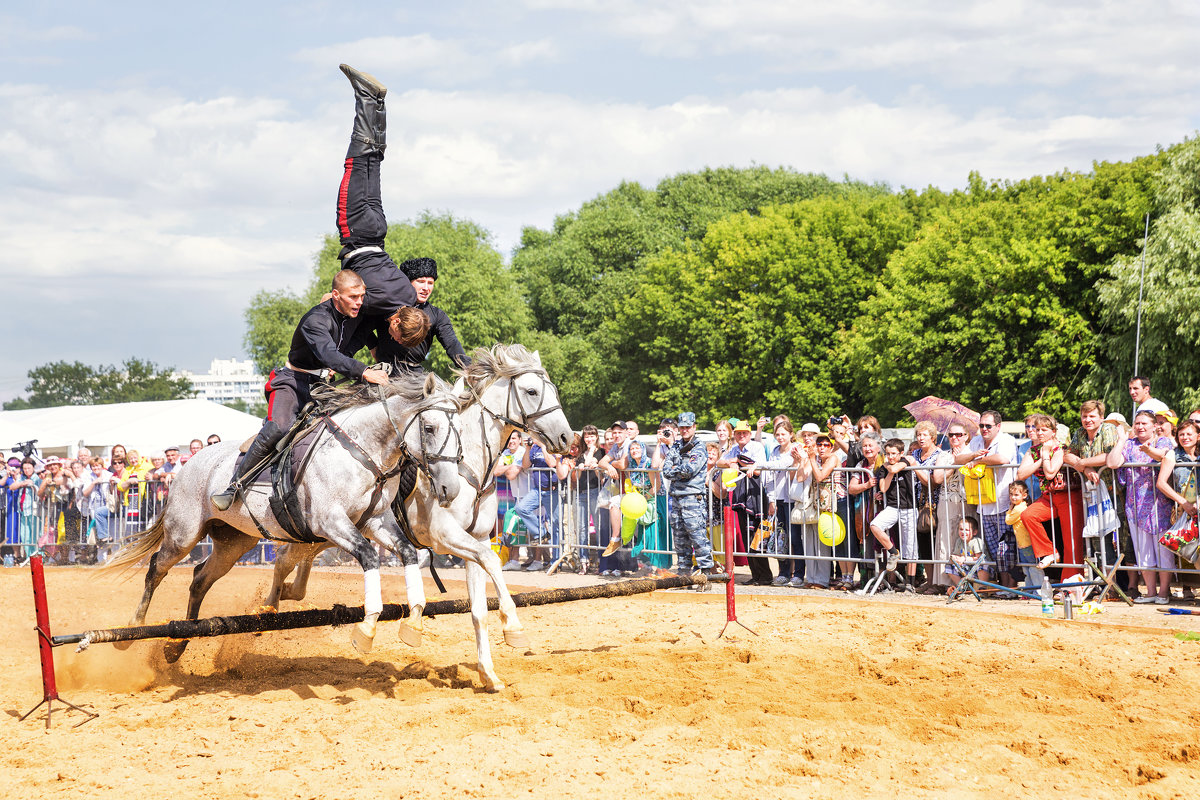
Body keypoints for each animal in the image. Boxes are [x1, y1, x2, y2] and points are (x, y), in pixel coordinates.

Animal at [104, 371, 463, 662]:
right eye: (429, 427)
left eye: (460, 430)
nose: (451, 488)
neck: (362, 451)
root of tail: (187, 464)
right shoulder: (331, 522)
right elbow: (369, 557)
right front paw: (367, 628)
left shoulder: (375, 521)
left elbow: (408, 553)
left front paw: (414, 622)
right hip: (184, 533)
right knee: (156, 568)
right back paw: (132, 631)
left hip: (234, 543)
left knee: (200, 578)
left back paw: (177, 643)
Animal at [268, 347, 576, 690]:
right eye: (532, 391)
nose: (568, 439)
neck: (469, 463)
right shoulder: (447, 537)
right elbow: (492, 563)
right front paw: (513, 627)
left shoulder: (477, 540)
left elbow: (479, 609)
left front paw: (488, 673)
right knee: (285, 558)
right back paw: (268, 607)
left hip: (324, 533)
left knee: (290, 558)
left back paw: (284, 595)